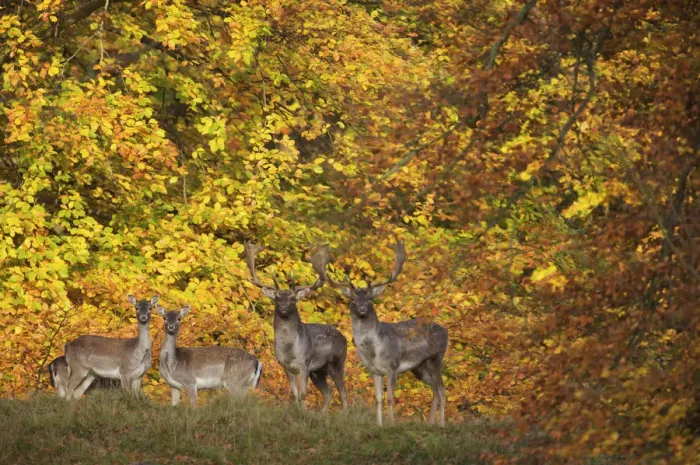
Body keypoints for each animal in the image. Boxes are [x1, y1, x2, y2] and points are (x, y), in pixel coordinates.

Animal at [244, 242, 348, 412]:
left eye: (293, 299)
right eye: (277, 299)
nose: (283, 308)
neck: (290, 350)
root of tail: (344, 338)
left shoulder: (304, 364)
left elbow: (303, 394)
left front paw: (303, 412)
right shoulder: (286, 366)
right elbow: (295, 395)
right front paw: (299, 411)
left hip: (337, 363)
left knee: (343, 393)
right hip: (318, 372)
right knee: (329, 393)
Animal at [319, 240, 448, 427]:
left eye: (369, 298)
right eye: (353, 299)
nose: (362, 308)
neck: (373, 351)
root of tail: (445, 330)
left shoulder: (392, 366)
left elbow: (389, 398)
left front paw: (391, 423)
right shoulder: (375, 371)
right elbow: (378, 398)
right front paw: (379, 425)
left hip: (435, 358)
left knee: (443, 389)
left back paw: (442, 424)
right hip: (420, 367)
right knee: (435, 390)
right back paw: (430, 422)